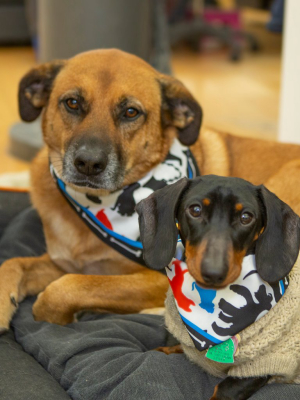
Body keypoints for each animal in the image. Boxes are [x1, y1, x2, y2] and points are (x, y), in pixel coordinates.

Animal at [0, 47, 300, 332]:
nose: (88, 164)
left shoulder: (158, 278)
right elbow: (14, 262)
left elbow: (68, 287)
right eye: (72, 103)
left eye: (131, 112)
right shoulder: (63, 262)